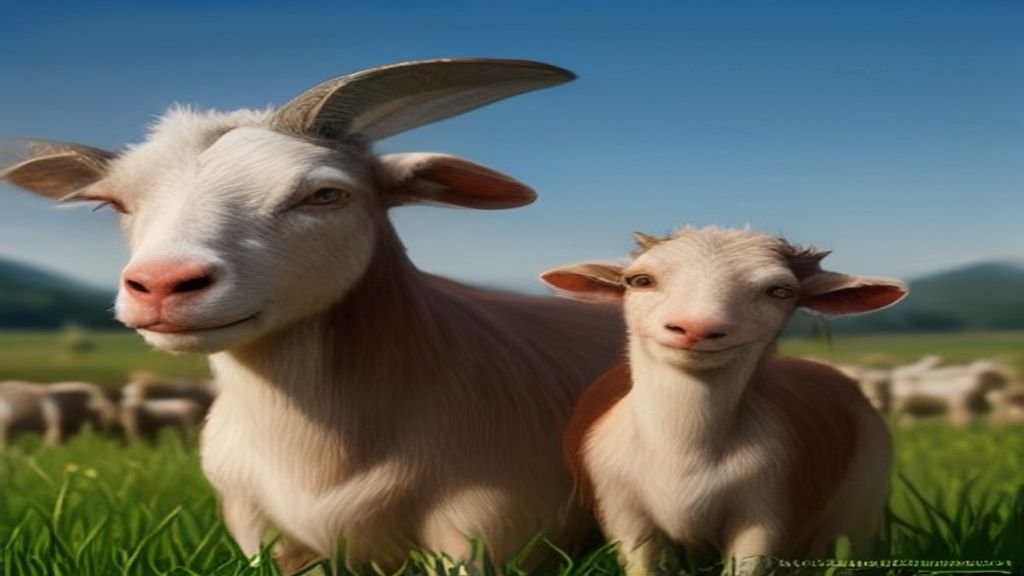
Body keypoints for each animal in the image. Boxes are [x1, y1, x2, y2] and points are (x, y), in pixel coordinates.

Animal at [2, 59, 623, 571]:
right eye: (115, 204)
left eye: (324, 194)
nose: (160, 284)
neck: (312, 453)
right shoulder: (258, 528)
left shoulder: (487, 528)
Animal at [542, 226, 905, 575]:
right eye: (640, 280)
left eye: (779, 291)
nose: (694, 328)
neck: (682, 449)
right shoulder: (622, 510)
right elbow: (643, 565)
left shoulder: (765, 512)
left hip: (860, 504)